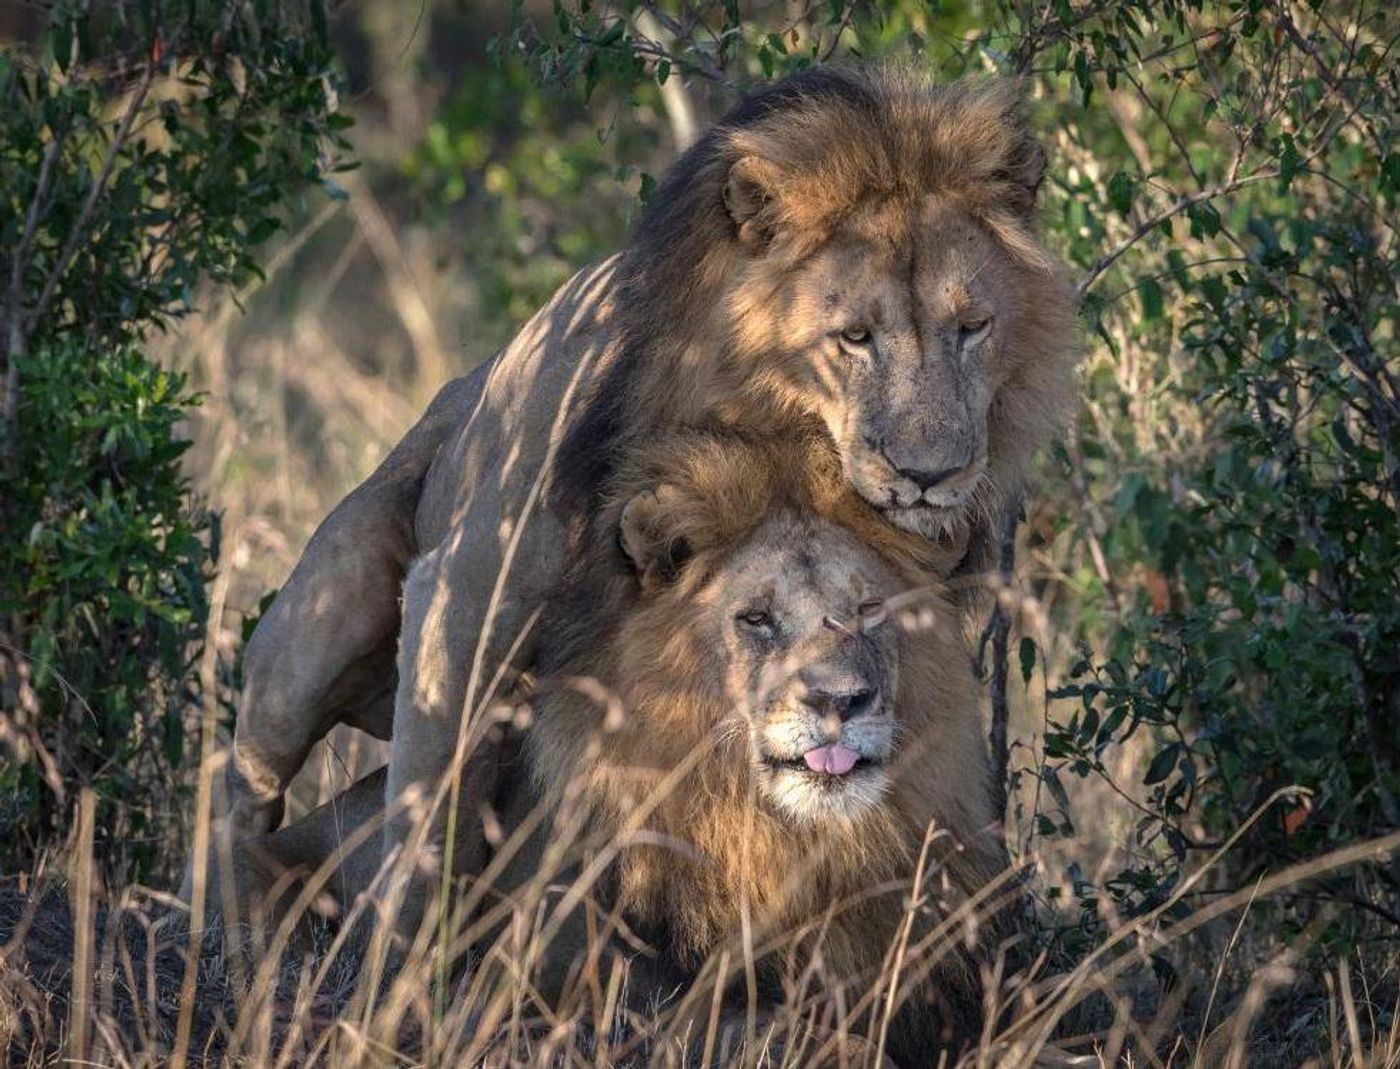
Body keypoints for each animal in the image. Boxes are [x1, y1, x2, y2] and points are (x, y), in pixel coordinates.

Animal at [183, 66, 1069, 934]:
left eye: (973, 327)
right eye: (853, 336)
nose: (931, 474)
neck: (767, 427)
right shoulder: (461, 595)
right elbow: (426, 825)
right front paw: (399, 972)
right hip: (323, 620)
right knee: (243, 795)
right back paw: (235, 927)